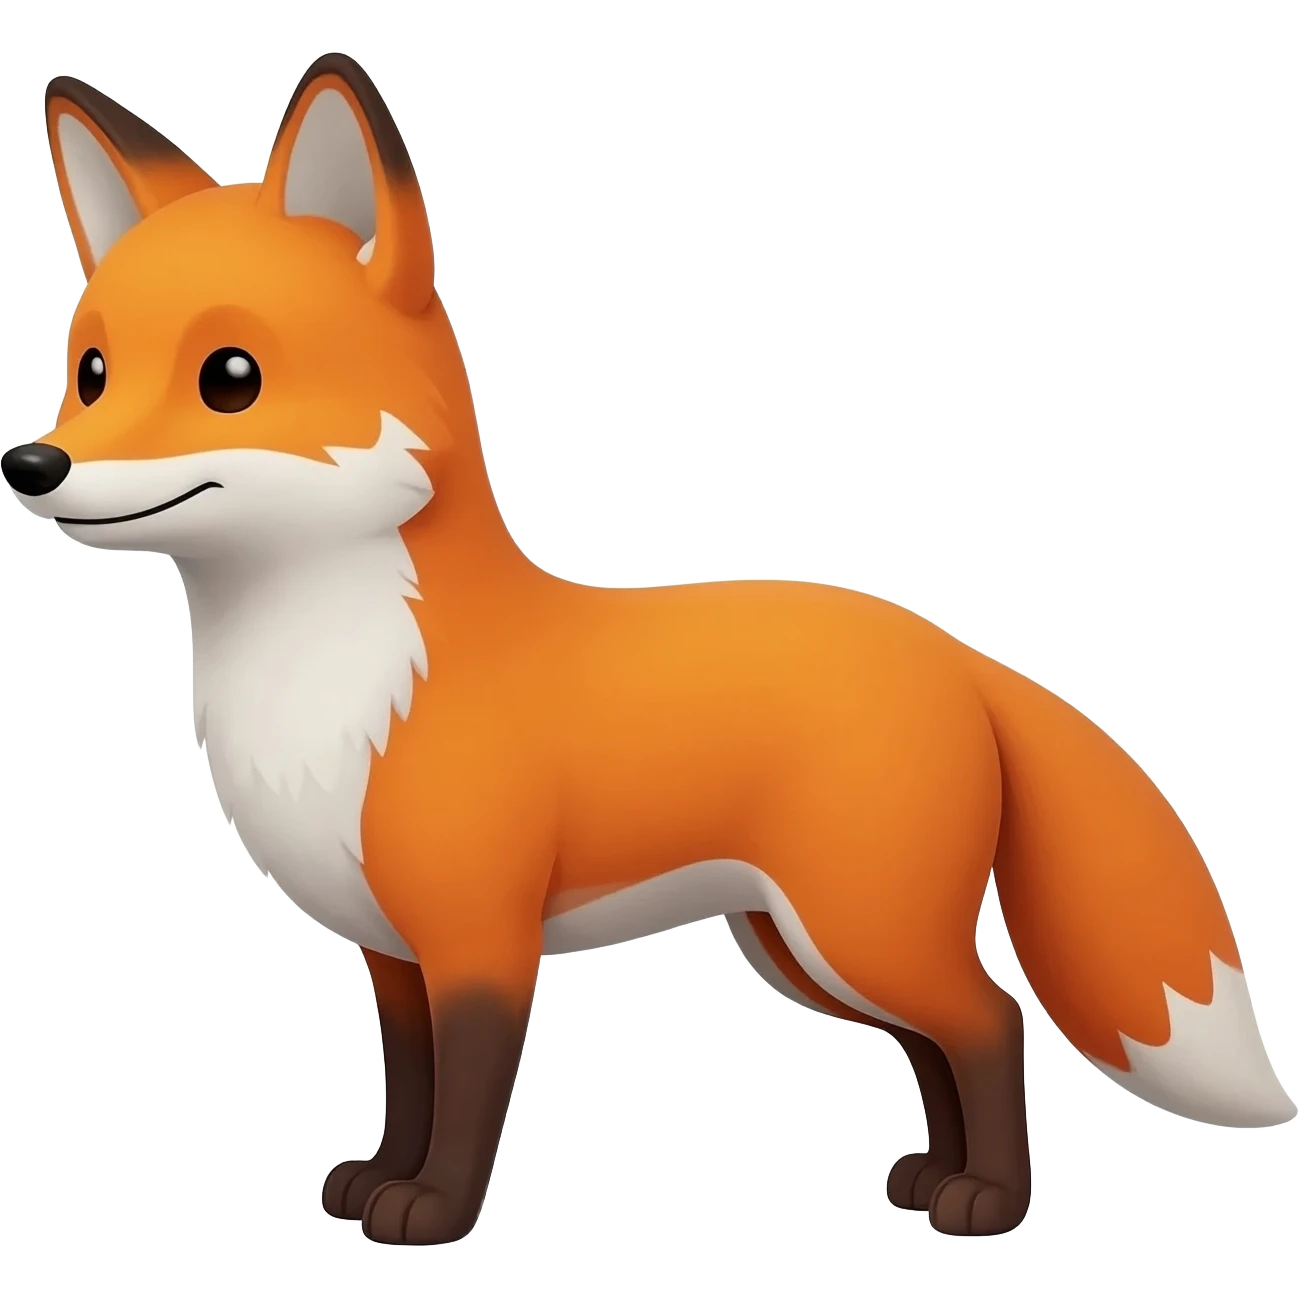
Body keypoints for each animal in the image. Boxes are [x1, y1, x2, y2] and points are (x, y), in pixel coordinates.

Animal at [7, 50, 1294, 1247]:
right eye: (90, 374)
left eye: (231, 377)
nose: (34, 464)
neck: (344, 678)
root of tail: (955, 650)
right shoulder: (394, 956)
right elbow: (411, 1089)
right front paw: (379, 1182)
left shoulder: (482, 941)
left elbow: (468, 1101)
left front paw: (436, 1211)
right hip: (802, 947)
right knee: (939, 1043)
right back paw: (932, 1178)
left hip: (860, 930)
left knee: (991, 1023)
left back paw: (988, 1202)